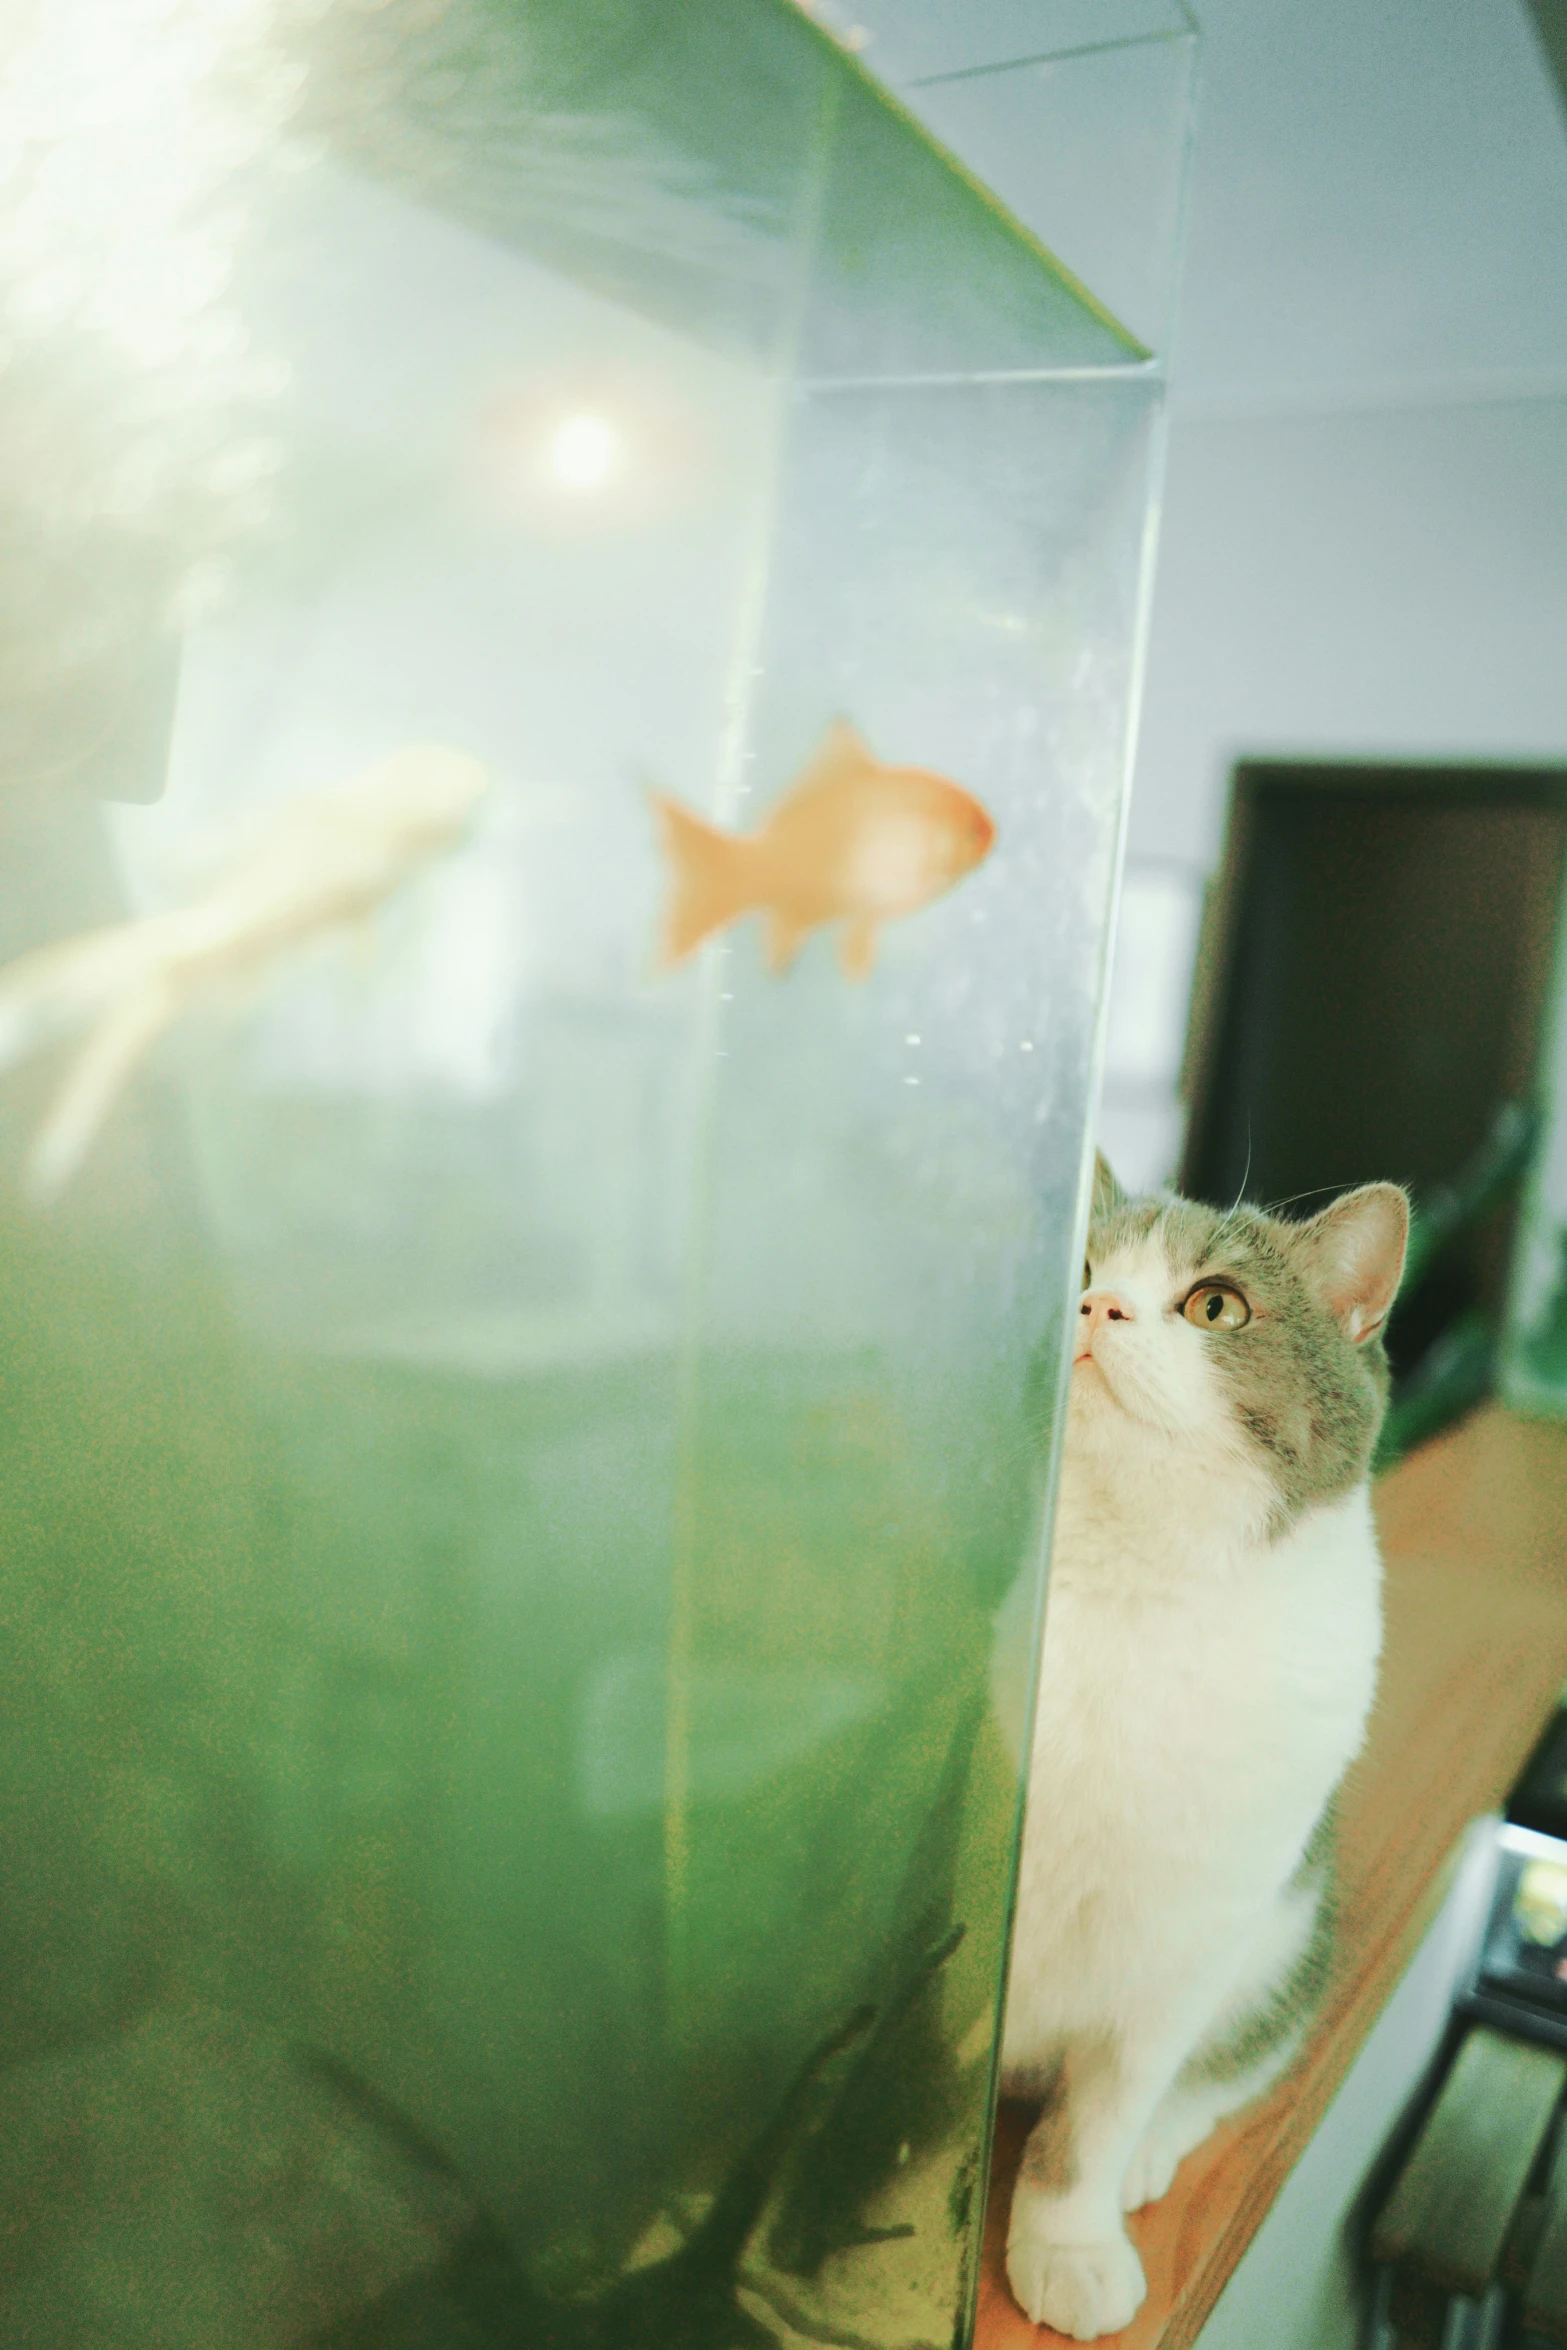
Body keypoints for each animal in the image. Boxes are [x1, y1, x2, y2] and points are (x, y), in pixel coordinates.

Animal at [1000, 1151, 1418, 2331]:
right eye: (1078, 1268)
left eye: (1214, 1306)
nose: (1095, 1305)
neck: (1129, 1581)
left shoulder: (1185, 1937)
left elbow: (1103, 2113)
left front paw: (1070, 2238)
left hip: (1285, 1938)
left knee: (1229, 2065)